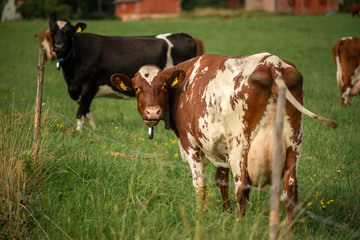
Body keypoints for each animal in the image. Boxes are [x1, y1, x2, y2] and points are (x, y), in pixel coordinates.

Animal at [49, 16, 204, 130]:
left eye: (69, 32)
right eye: (52, 32)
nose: (59, 46)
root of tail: (183, 35)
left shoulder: (89, 87)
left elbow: (80, 112)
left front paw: (79, 132)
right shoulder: (77, 90)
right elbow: (87, 112)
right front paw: (93, 130)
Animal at [110, 53, 338, 230]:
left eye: (164, 86)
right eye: (137, 88)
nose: (152, 112)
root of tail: (271, 61)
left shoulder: (191, 145)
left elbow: (200, 184)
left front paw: (200, 216)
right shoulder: (221, 150)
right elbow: (221, 180)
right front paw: (225, 213)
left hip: (240, 145)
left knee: (242, 187)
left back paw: (239, 226)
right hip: (293, 142)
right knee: (290, 189)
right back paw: (287, 230)